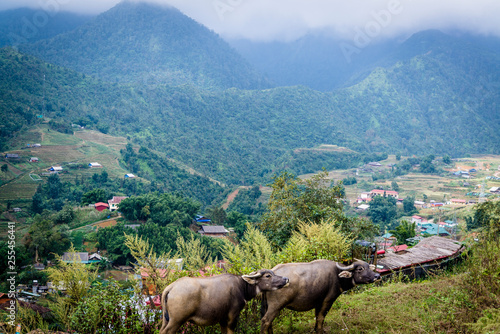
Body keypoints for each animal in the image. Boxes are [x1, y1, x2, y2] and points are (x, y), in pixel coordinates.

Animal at [160, 268, 290, 334]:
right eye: (268, 276)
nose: (286, 279)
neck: (241, 287)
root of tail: (171, 287)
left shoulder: (222, 319)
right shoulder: (232, 316)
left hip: (166, 320)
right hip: (177, 320)